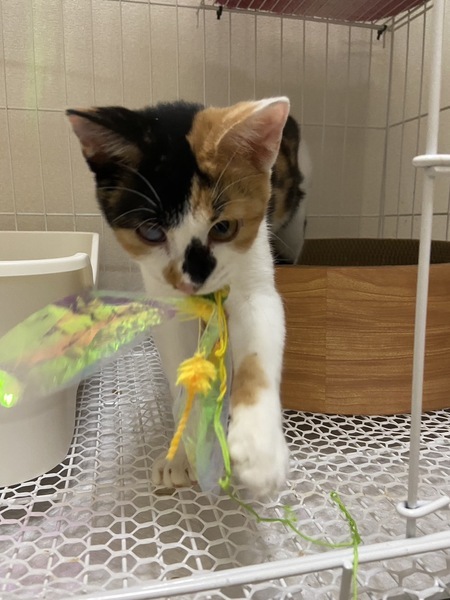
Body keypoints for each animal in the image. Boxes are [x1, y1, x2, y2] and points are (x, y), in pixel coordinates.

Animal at [67, 97, 307, 496]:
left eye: (224, 227)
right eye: (151, 232)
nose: (191, 280)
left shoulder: (256, 282)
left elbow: (256, 357)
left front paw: (260, 451)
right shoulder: (166, 302)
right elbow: (183, 379)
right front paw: (182, 454)